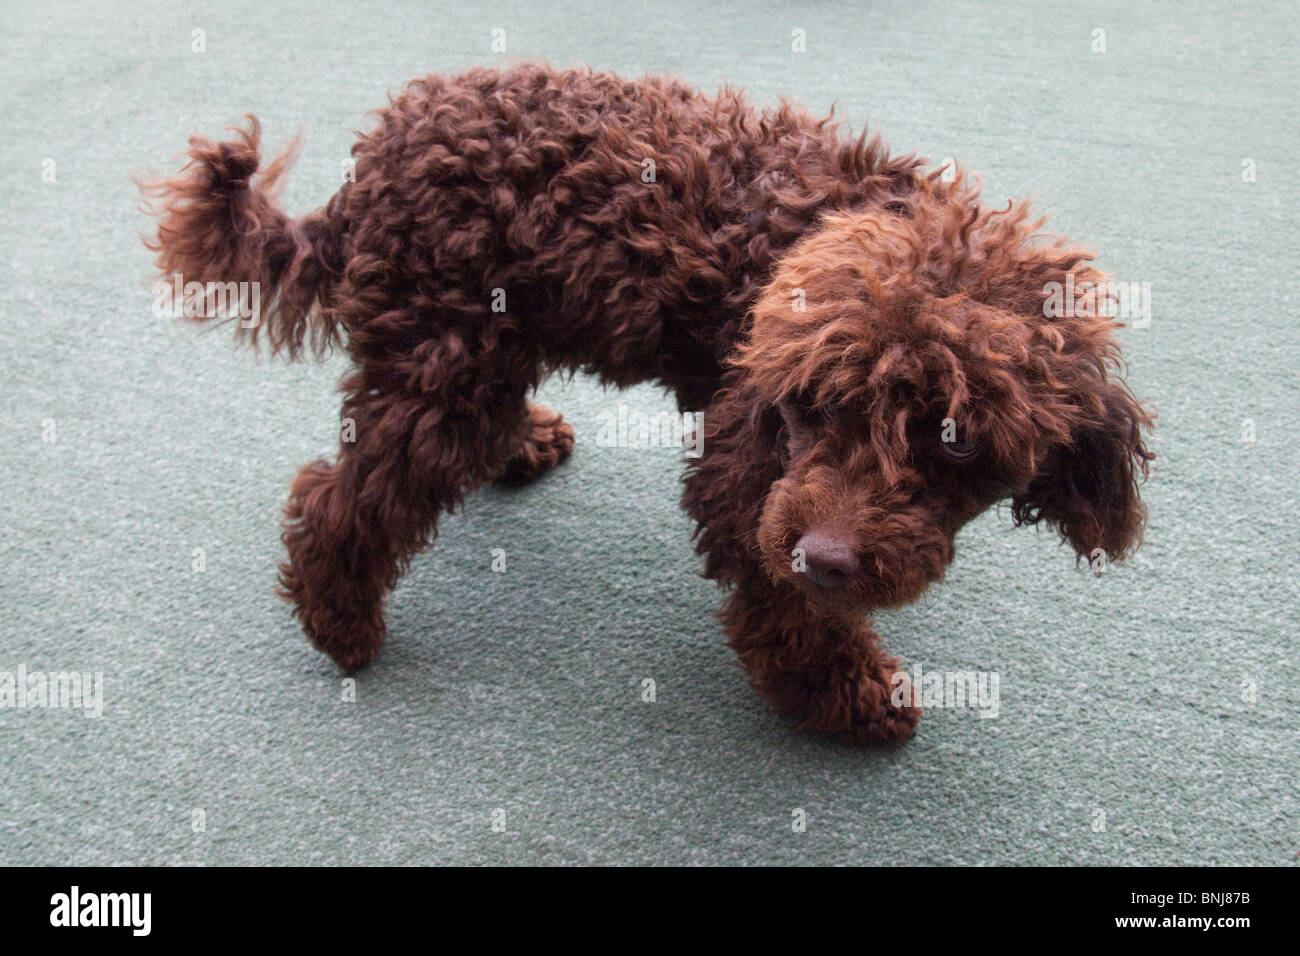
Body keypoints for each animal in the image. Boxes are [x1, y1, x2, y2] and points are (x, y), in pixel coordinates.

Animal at [142, 63, 1154, 743]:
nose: (828, 558)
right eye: (814, 407)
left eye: (953, 440)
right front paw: (848, 696)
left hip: (484, 339)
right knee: (338, 499)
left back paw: (518, 447)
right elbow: (782, 609)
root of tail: (370, 167)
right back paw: (341, 624)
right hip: (443, 361)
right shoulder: (749, 480)